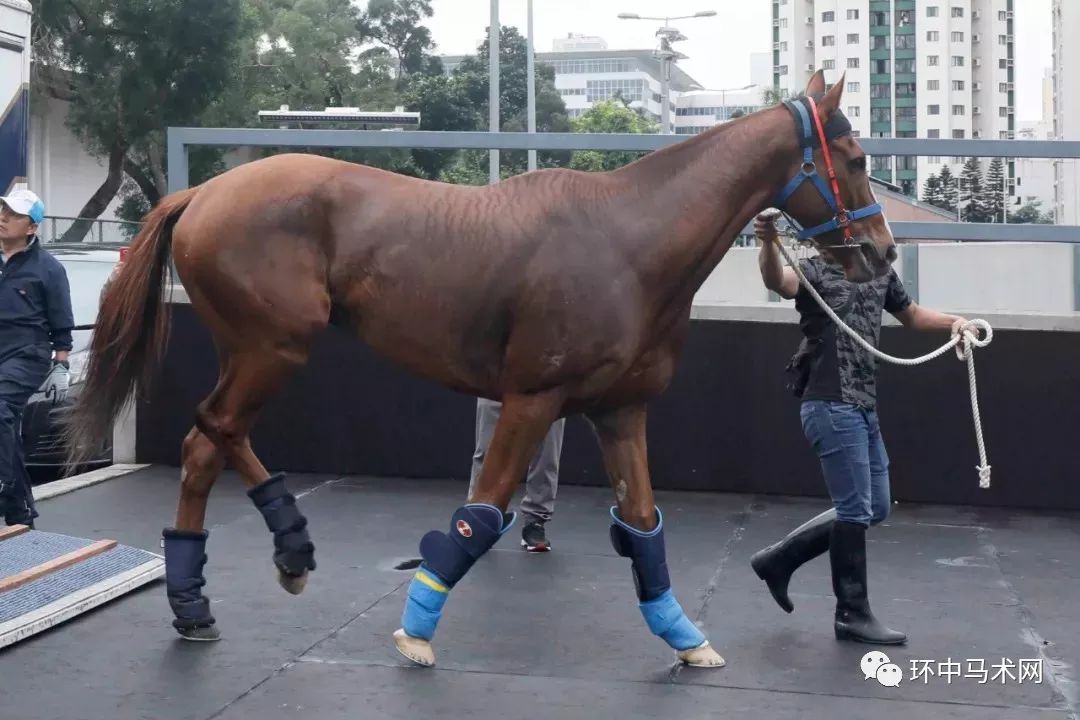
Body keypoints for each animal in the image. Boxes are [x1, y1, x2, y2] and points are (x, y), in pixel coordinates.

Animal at [67, 73, 894, 669]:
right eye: (855, 160)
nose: (882, 252)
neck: (629, 241)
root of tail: (202, 191)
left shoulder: (619, 411)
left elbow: (643, 525)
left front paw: (685, 637)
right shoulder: (531, 400)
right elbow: (482, 514)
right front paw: (417, 628)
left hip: (258, 351)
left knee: (208, 444)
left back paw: (216, 593)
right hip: (274, 347)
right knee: (214, 431)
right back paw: (273, 554)